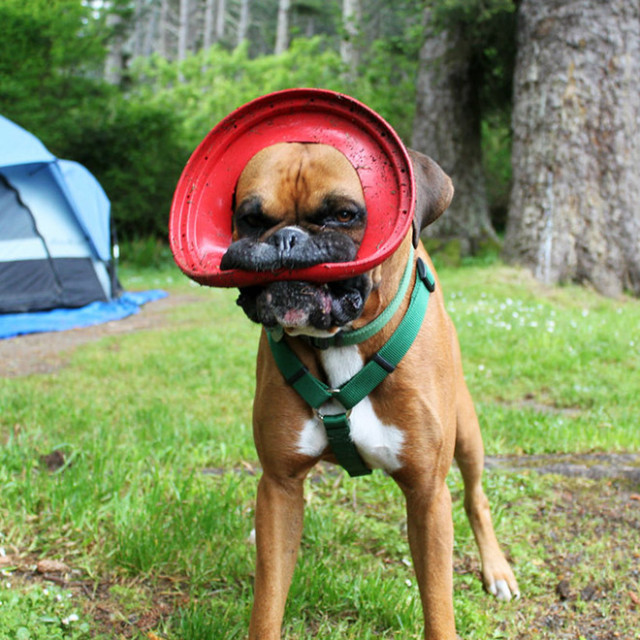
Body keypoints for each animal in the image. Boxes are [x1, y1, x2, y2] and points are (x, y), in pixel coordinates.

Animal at [222, 142, 516, 636]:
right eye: (251, 219)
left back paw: (496, 570)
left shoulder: (428, 497)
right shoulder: (280, 485)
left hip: (468, 432)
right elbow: (267, 601)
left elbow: (439, 605)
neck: (340, 342)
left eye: (344, 214)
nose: (287, 239)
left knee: (476, 498)